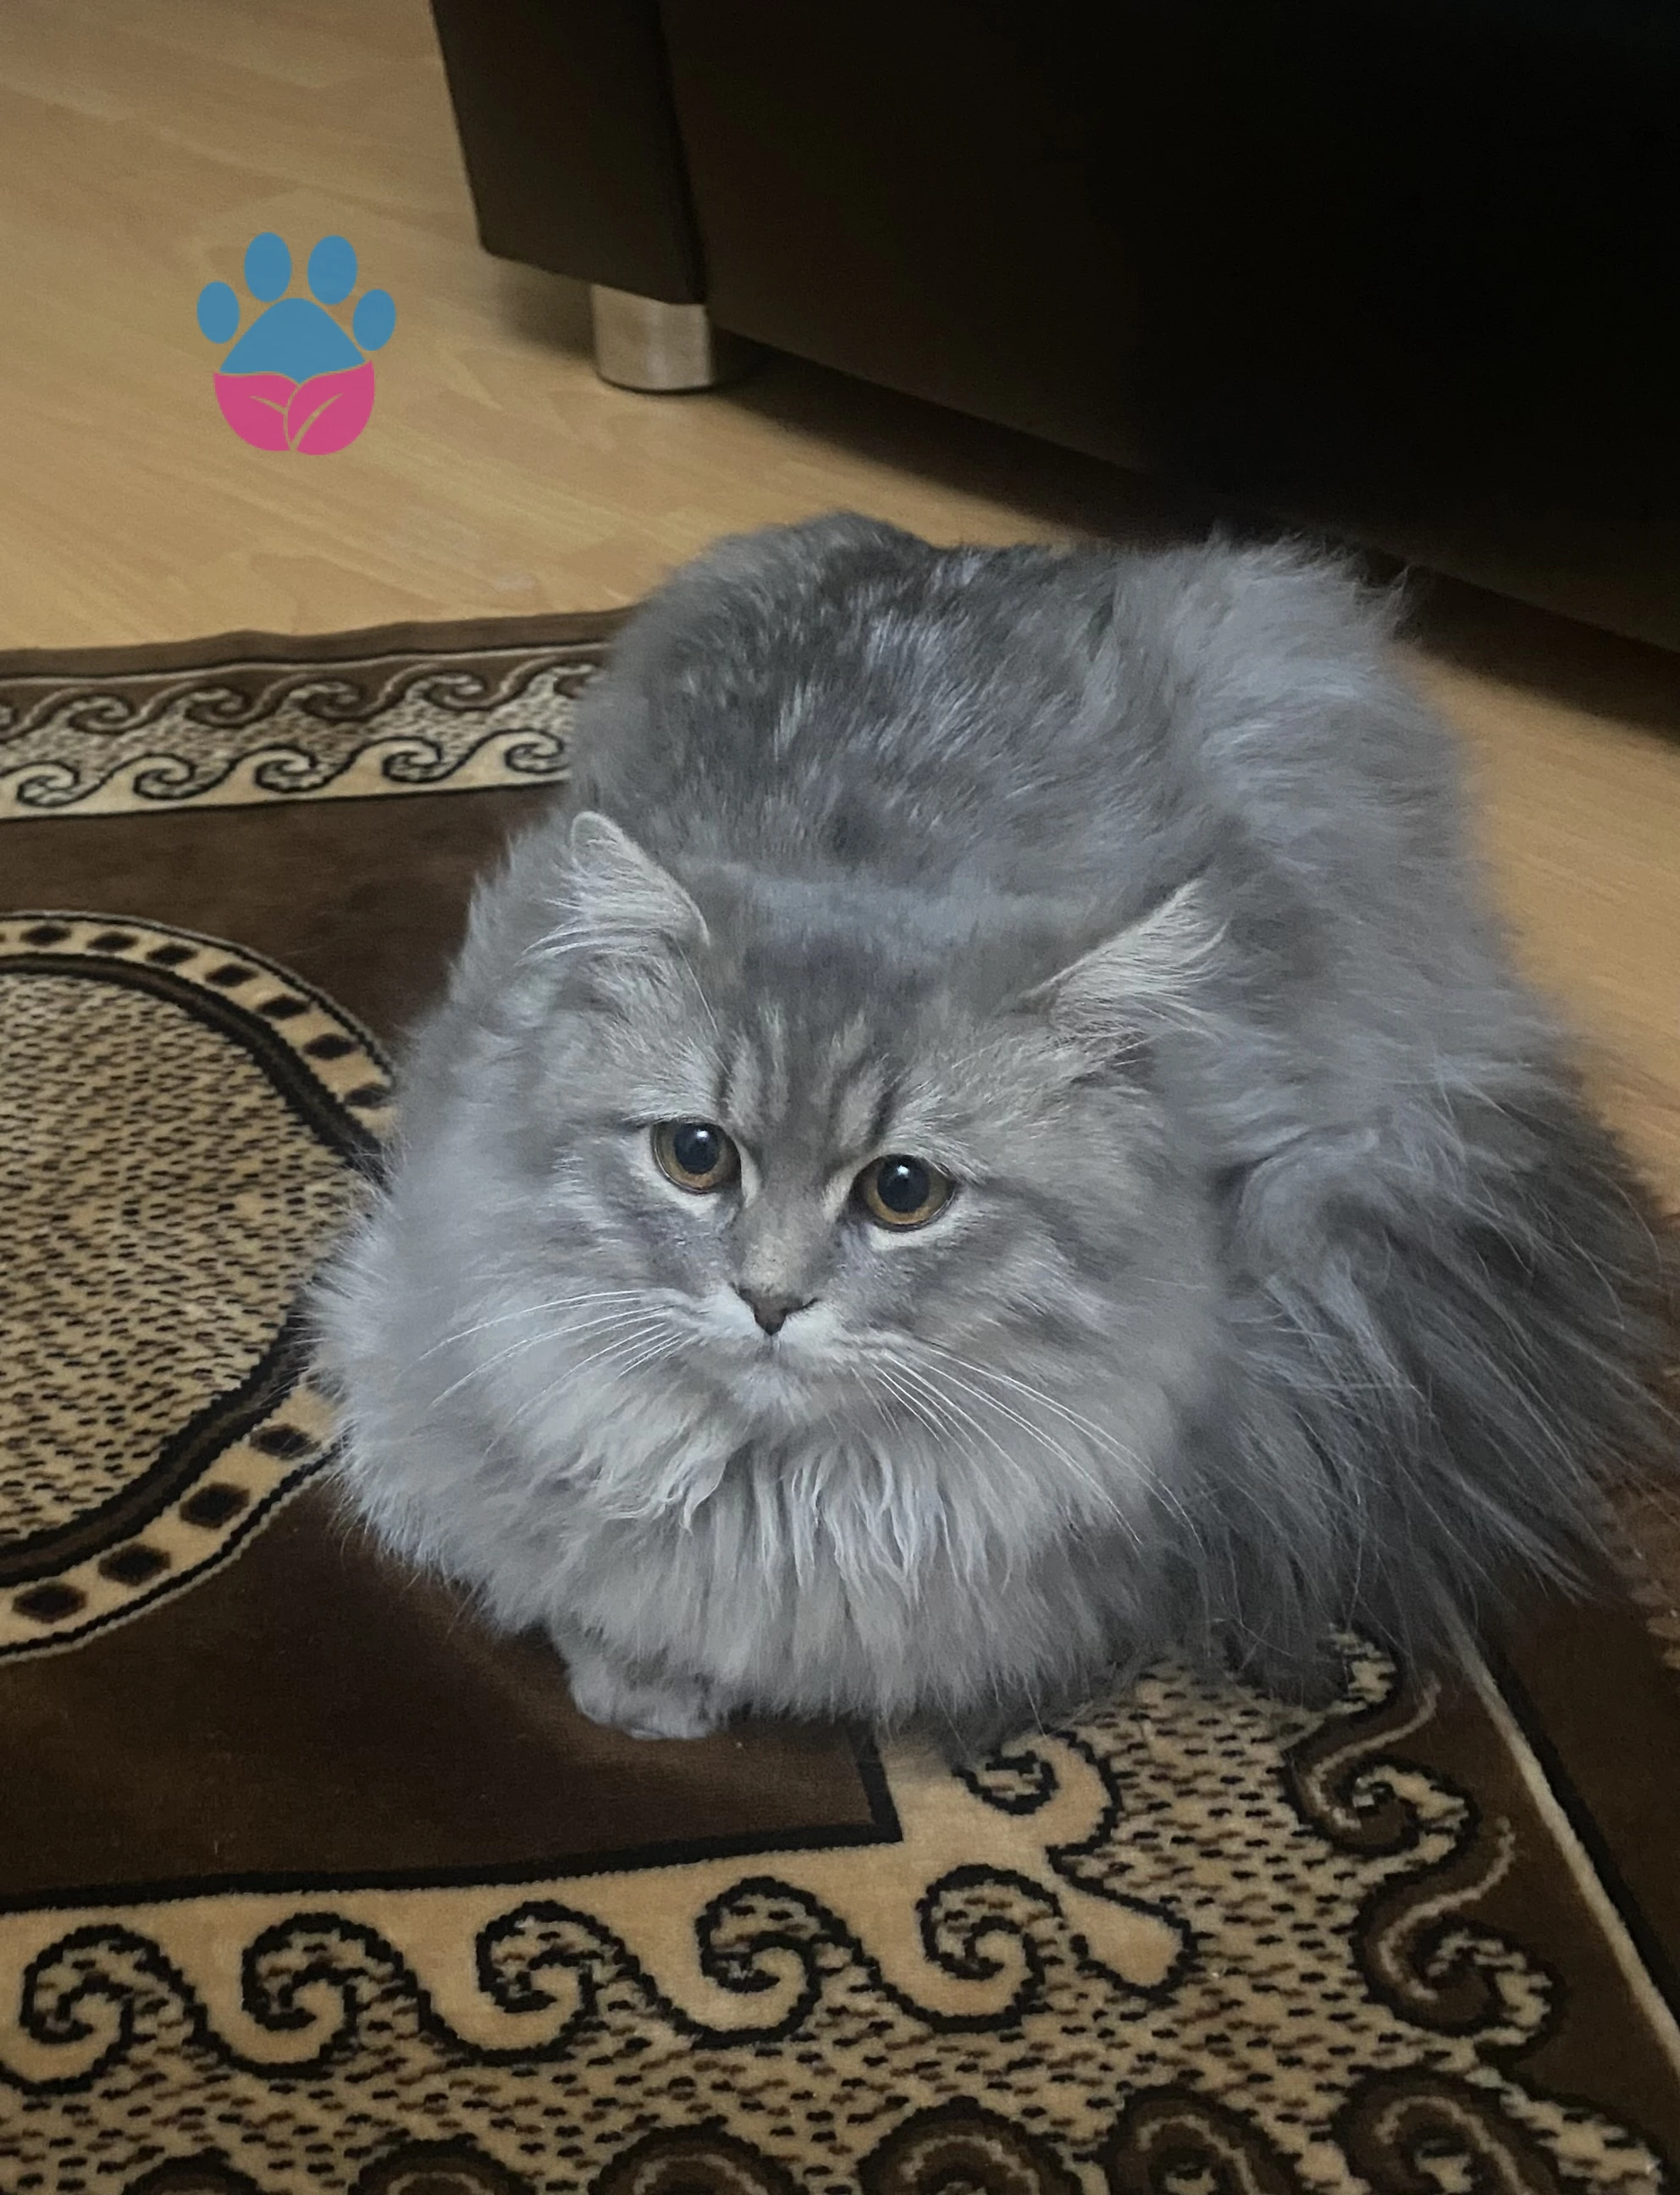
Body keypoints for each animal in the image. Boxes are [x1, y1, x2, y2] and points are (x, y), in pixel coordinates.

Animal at [313, 515, 1672, 1748]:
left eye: (903, 1192)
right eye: (695, 1157)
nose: (768, 1300)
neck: (779, 1496)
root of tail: (1024, 554)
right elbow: (579, 1579)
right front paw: (642, 1686)